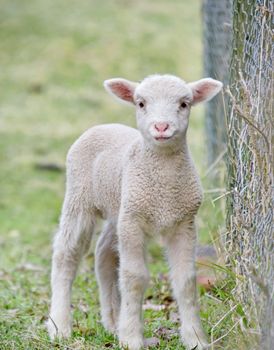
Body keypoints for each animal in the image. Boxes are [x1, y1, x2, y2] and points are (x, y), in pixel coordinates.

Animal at [47, 72, 223, 348]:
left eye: (184, 104)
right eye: (141, 103)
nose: (161, 127)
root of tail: (103, 125)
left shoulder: (183, 223)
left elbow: (185, 280)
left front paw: (196, 339)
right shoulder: (133, 222)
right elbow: (135, 277)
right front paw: (131, 338)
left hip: (118, 207)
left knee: (104, 254)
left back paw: (112, 323)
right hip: (80, 198)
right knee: (66, 254)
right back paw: (60, 326)